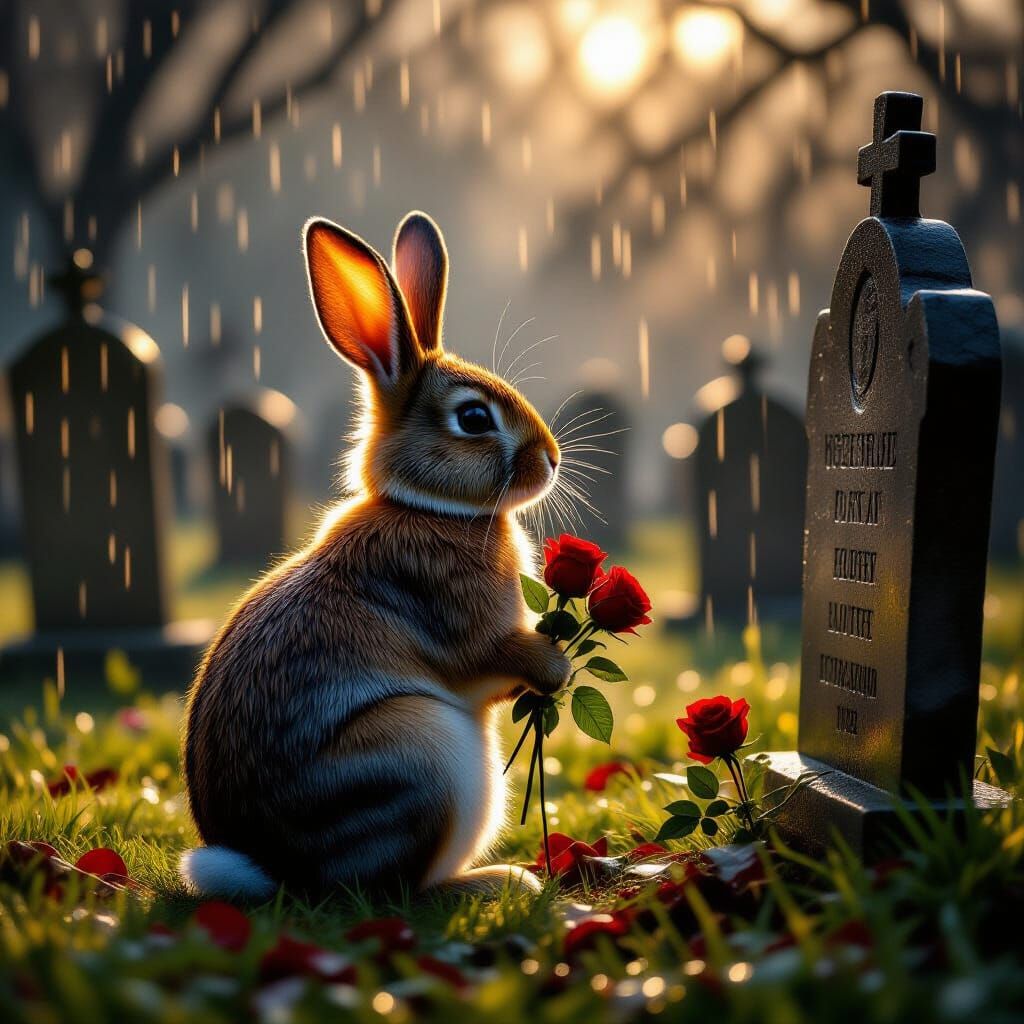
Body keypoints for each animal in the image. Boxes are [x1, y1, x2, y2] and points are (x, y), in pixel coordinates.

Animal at [180, 211, 569, 902]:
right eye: (474, 418)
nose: (550, 459)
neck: (429, 507)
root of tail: (275, 870)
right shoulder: (465, 626)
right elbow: (495, 654)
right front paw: (559, 669)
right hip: (418, 756)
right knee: (394, 888)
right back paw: (498, 882)